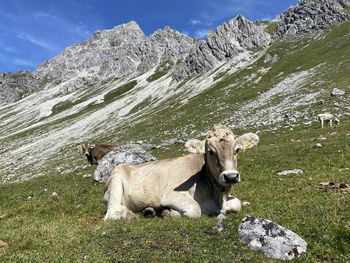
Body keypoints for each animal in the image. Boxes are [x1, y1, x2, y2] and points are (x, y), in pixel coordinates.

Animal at [102, 125, 258, 222]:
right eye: (210, 151)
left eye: (237, 150)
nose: (231, 176)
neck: (217, 197)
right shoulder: (171, 194)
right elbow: (195, 209)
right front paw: (169, 212)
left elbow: (237, 203)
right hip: (116, 177)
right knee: (112, 213)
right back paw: (129, 215)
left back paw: (149, 211)